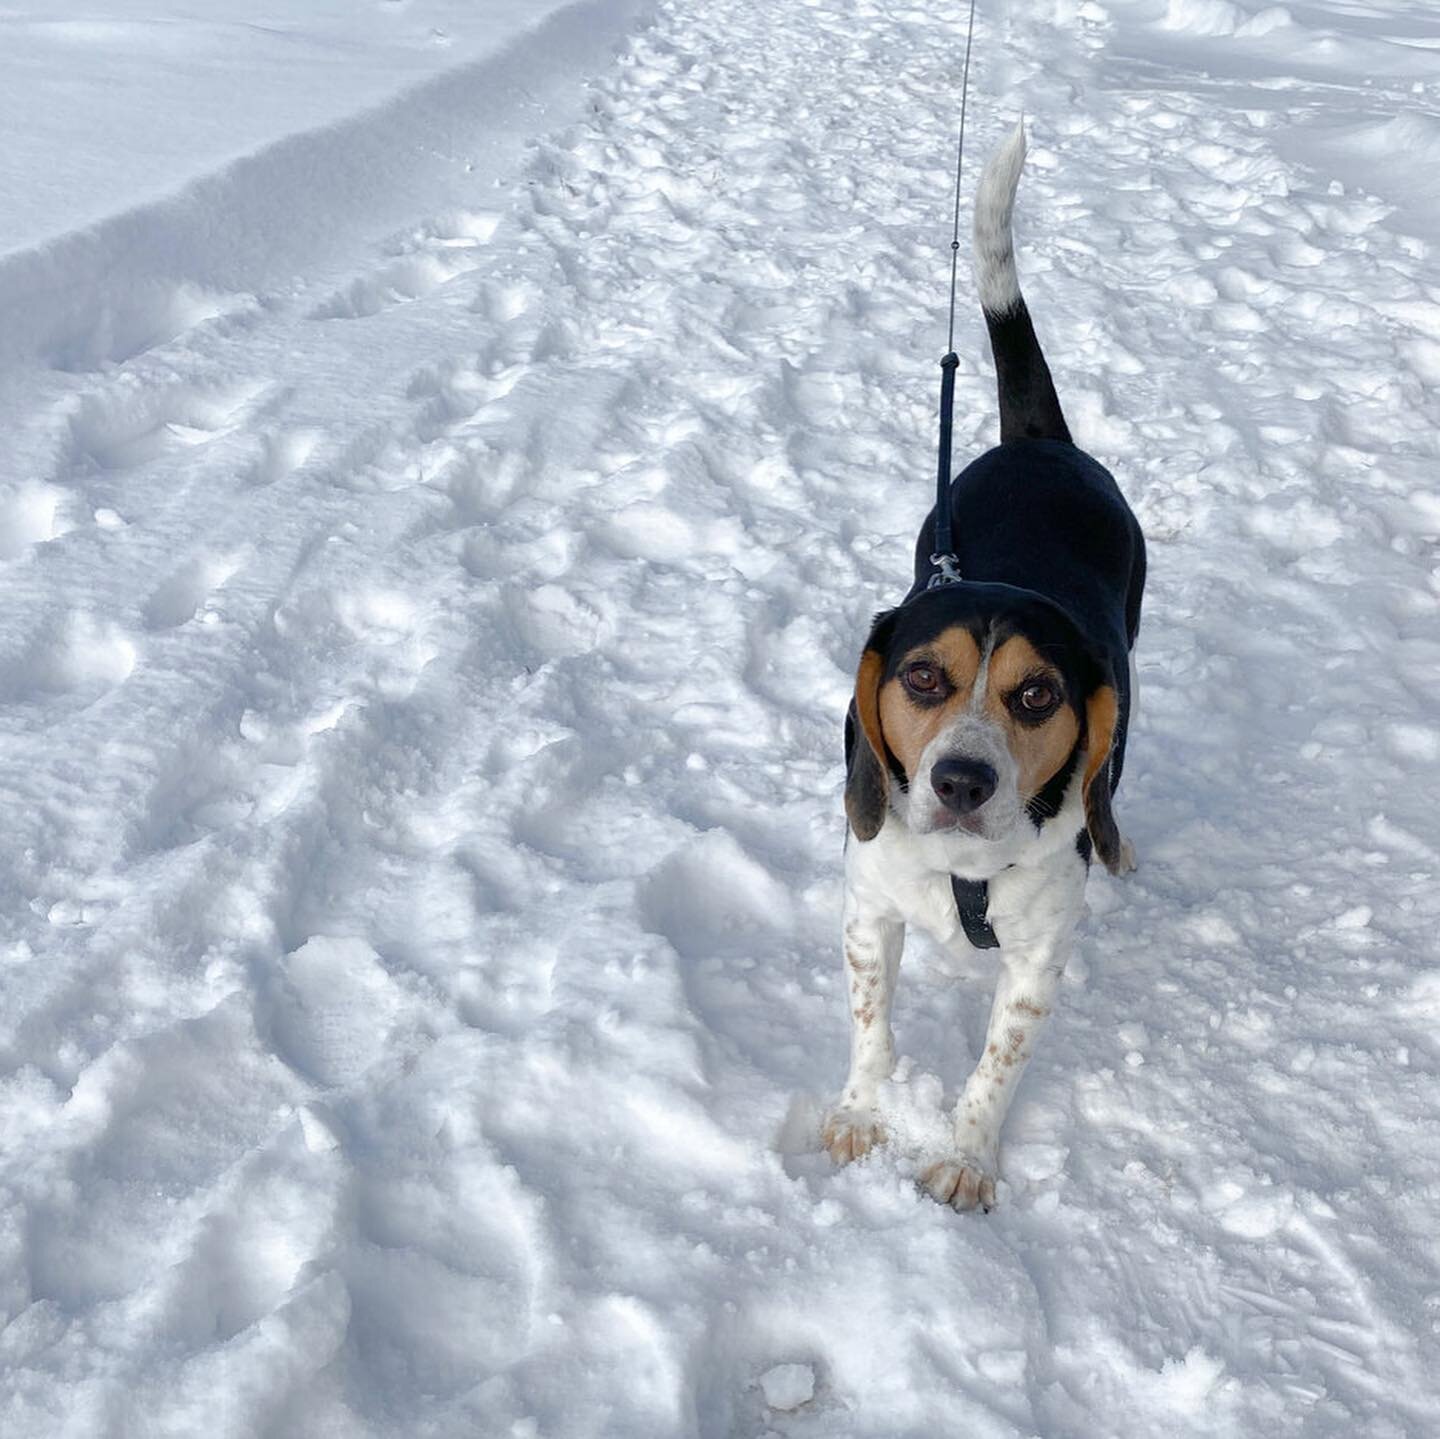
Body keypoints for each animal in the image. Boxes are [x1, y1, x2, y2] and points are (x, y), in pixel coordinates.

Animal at [823, 123, 1146, 1209]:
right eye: (923, 677)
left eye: (1037, 693)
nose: (962, 780)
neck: (962, 871)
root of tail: (1043, 443)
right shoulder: (869, 910)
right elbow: (871, 1022)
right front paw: (861, 1113)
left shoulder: (1039, 960)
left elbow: (995, 1067)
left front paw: (964, 1158)